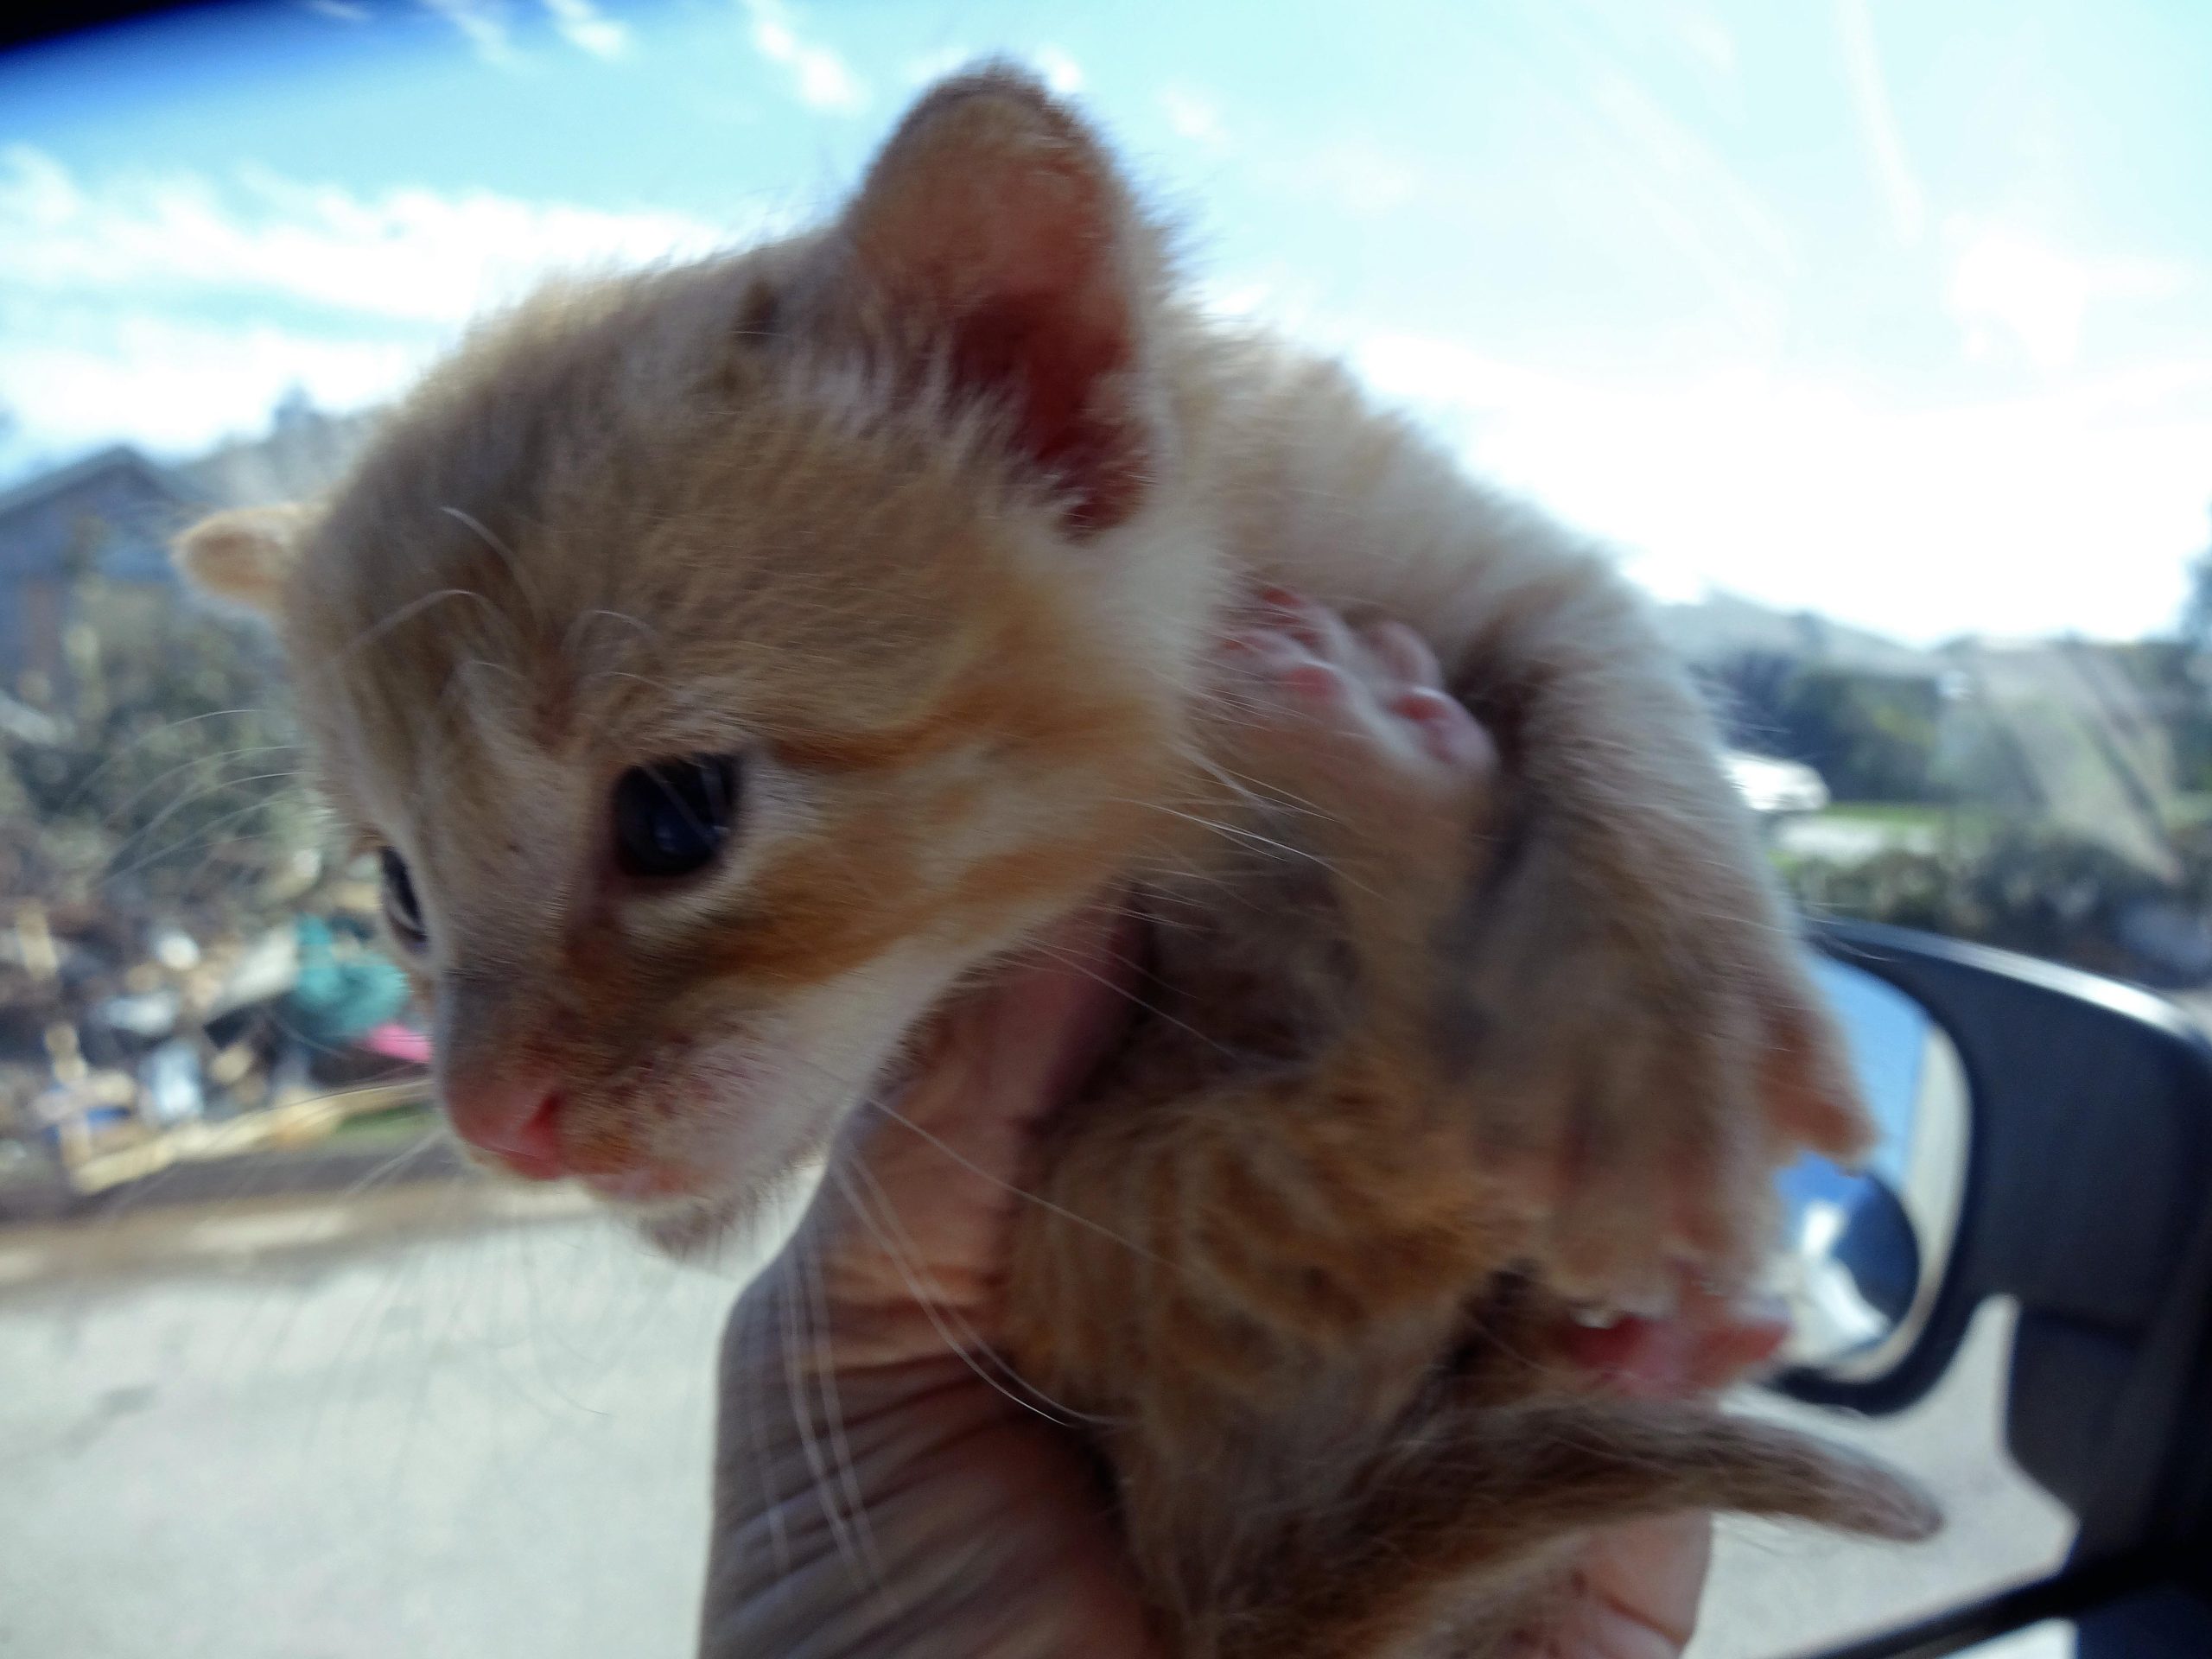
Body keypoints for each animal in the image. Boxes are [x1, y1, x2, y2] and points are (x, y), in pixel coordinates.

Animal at [181, 71, 1929, 1654]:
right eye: (401, 894)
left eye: (677, 813)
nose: (493, 1122)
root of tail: (1229, 1562)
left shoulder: (1449, 534)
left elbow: (1614, 688)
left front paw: (1665, 1035)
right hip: (1141, 1206)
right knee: (1383, 1143)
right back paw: (1389, 793)